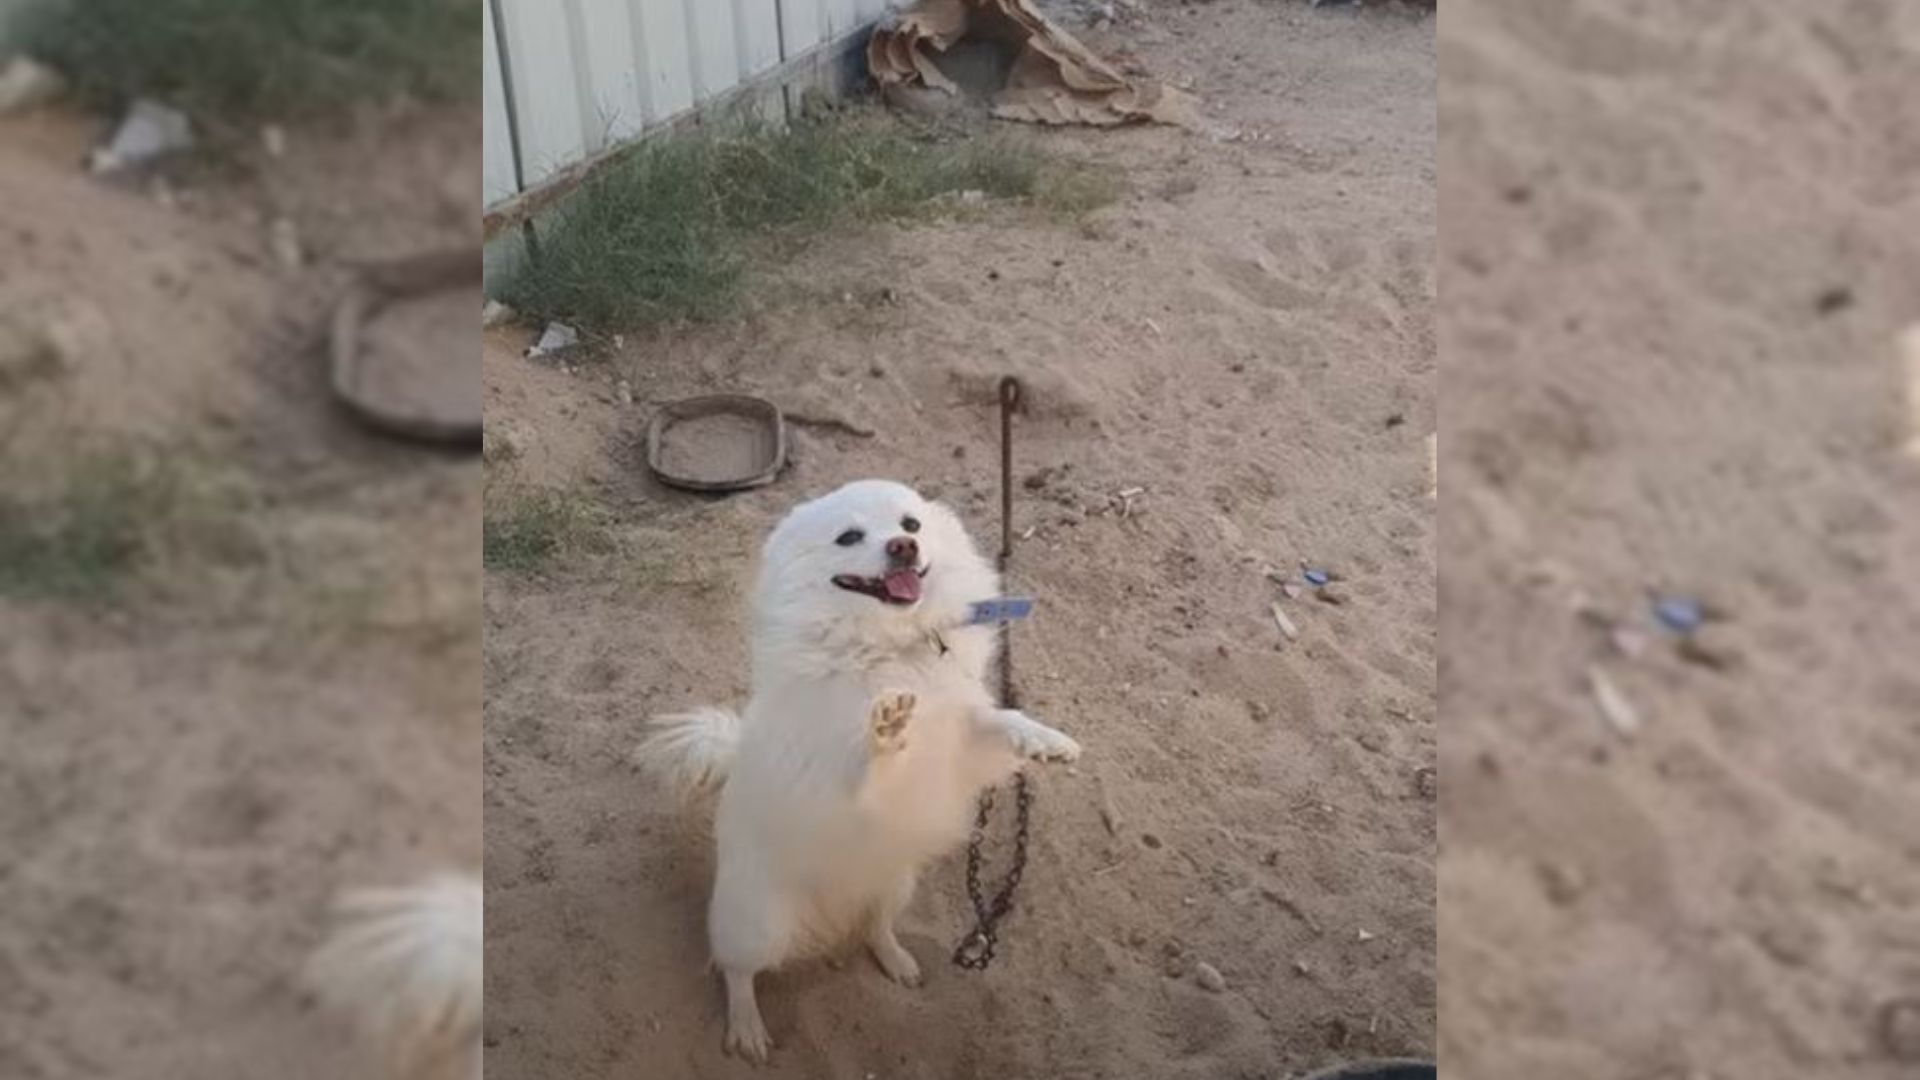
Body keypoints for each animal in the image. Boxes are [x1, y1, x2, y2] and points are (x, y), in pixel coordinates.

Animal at [641, 474, 1082, 1053]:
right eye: (849, 537)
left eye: (911, 524)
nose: (904, 547)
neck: (890, 645)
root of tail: (831, 915)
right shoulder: (846, 786)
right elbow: (869, 764)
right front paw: (887, 728)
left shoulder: (957, 742)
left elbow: (996, 719)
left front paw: (1044, 740)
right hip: (757, 924)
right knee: (737, 971)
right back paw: (747, 1029)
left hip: (894, 885)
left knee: (875, 927)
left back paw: (897, 960)